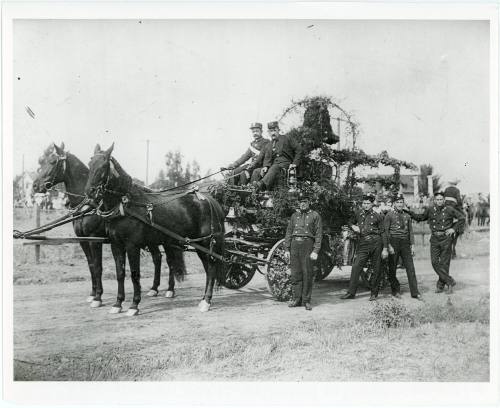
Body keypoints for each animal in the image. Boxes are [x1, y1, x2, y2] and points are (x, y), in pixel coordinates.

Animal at [33, 143, 186, 306]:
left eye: (52, 162)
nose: (35, 186)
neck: (90, 205)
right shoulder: (83, 240)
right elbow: (91, 265)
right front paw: (93, 294)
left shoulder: (95, 239)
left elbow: (98, 267)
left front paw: (98, 297)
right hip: (152, 239)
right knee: (157, 258)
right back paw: (154, 289)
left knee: (170, 260)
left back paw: (170, 289)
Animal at [85, 144, 226, 316]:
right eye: (90, 164)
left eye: (104, 166)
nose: (90, 192)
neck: (126, 205)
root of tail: (211, 200)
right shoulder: (116, 245)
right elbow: (120, 273)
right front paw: (118, 304)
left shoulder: (132, 246)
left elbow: (134, 274)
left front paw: (134, 305)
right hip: (200, 245)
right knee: (208, 268)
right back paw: (204, 299)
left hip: (206, 242)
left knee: (211, 268)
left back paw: (206, 301)